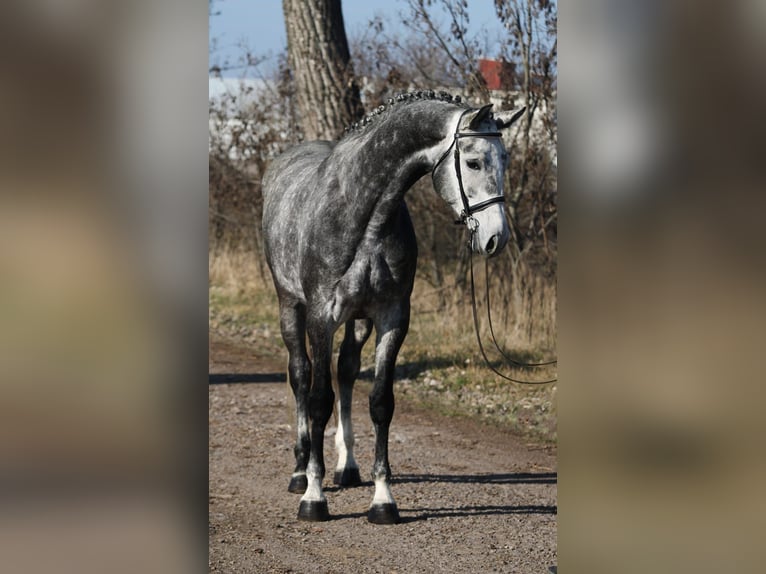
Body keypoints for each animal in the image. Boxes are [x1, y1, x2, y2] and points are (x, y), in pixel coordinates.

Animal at [260, 91, 524, 528]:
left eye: (504, 160)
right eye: (473, 162)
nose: (495, 238)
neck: (363, 215)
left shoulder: (392, 319)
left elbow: (380, 402)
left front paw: (383, 500)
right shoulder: (320, 318)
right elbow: (318, 400)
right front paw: (314, 497)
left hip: (358, 321)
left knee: (347, 372)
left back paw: (347, 467)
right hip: (289, 308)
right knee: (300, 377)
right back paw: (300, 472)